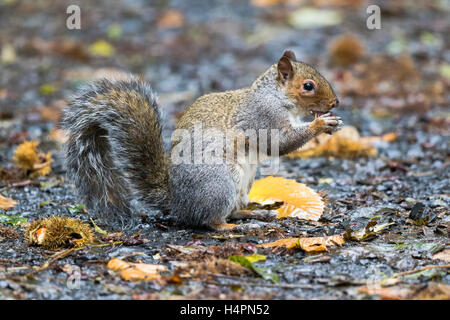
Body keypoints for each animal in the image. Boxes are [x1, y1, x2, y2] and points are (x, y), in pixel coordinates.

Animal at [62, 50, 342, 230]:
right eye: (308, 86)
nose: (335, 103)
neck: (275, 96)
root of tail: (178, 203)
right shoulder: (262, 118)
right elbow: (280, 142)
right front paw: (321, 124)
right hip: (220, 184)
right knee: (209, 221)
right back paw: (230, 228)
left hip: (241, 186)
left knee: (233, 210)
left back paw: (252, 213)